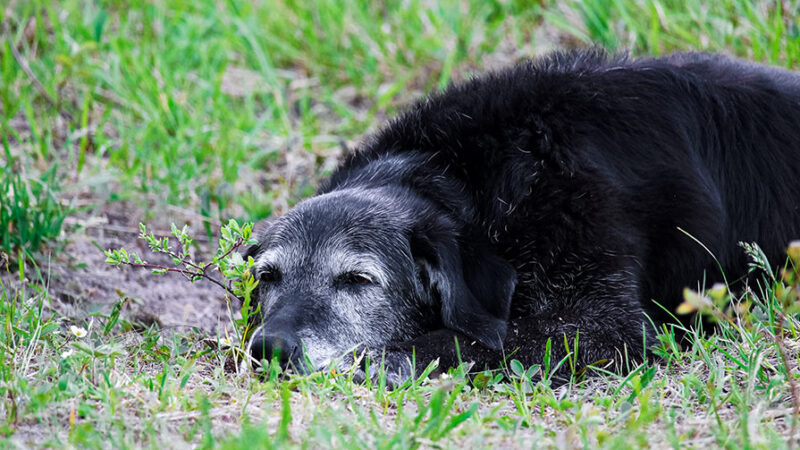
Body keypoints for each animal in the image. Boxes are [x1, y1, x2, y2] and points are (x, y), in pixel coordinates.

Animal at [242, 49, 800, 384]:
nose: (270, 348)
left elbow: (481, 337)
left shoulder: (608, 325)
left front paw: (388, 357)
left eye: (357, 280)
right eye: (268, 276)